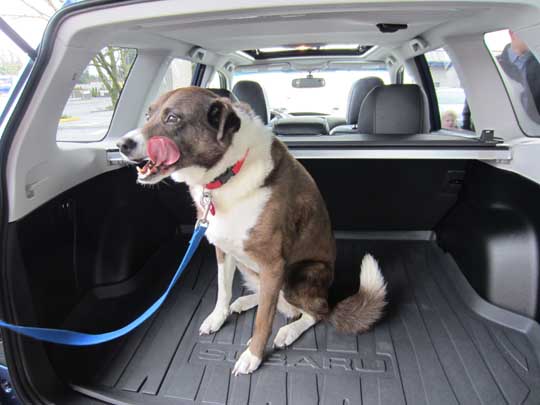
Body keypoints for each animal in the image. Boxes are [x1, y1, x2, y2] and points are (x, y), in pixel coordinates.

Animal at [118, 87, 388, 374]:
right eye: (149, 114)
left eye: (172, 118)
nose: (121, 144)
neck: (228, 173)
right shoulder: (223, 249)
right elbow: (223, 290)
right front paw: (218, 317)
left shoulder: (273, 263)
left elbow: (263, 321)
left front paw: (253, 356)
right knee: (275, 300)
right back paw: (246, 302)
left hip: (300, 274)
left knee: (315, 311)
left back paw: (288, 331)